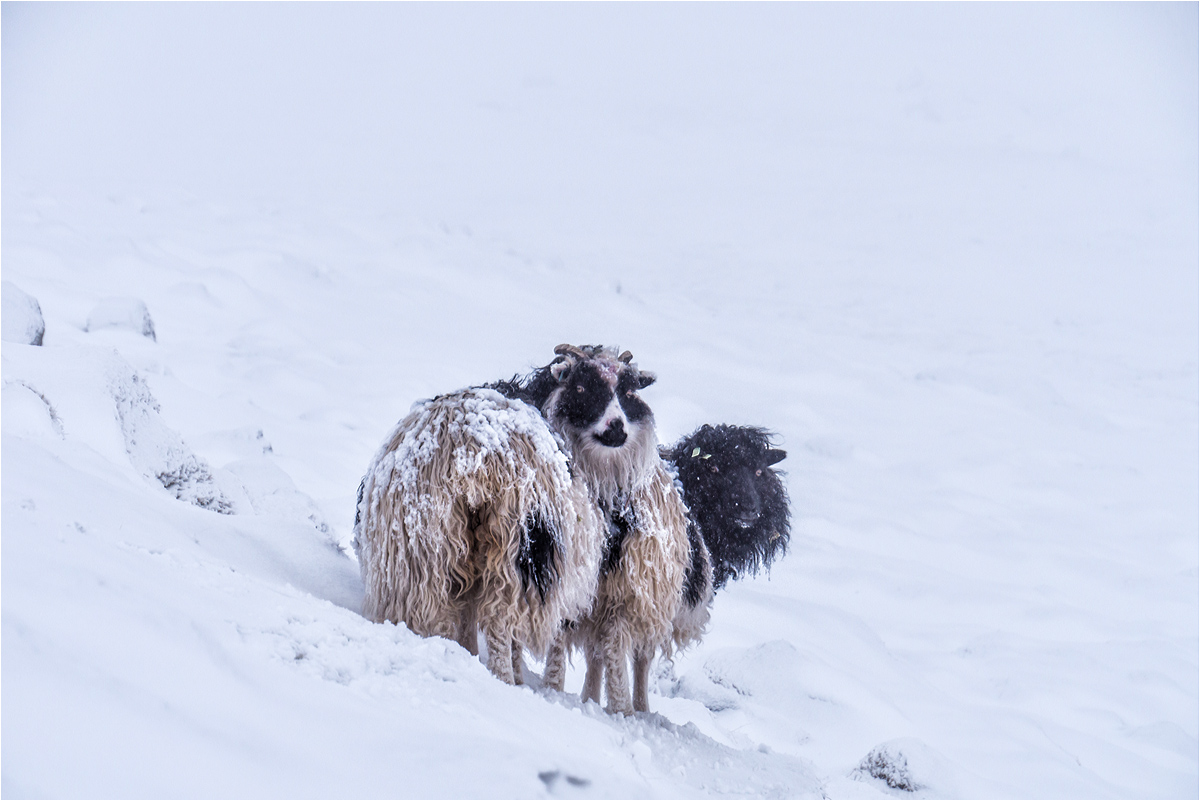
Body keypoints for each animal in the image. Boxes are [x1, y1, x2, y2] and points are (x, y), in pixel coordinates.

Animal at [350, 386, 604, 681]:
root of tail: (469, 448)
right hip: (515, 546)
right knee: (499, 623)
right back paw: (504, 679)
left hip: (420, 554)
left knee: (437, 617)